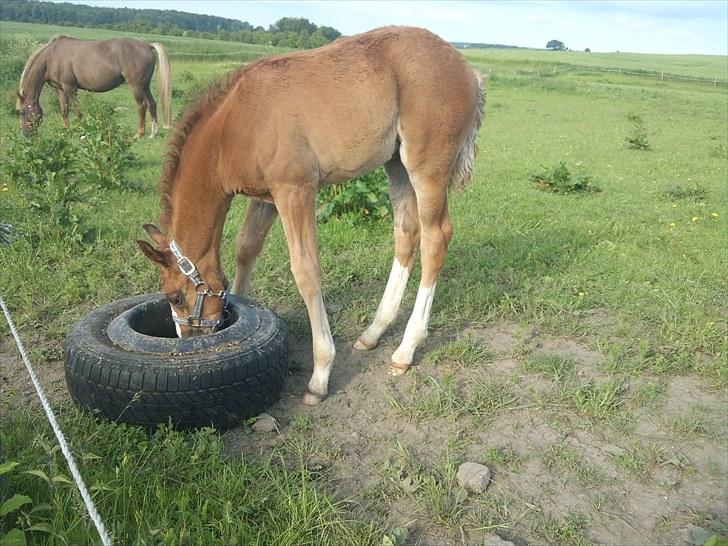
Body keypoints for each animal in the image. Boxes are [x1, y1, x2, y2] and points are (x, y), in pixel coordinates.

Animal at [17, 35, 172, 138]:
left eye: (22, 112)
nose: (25, 133)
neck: (52, 56)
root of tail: (147, 46)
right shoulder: (60, 89)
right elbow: (64, 111)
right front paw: (67, 131)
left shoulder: (70, 88)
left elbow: (78, 112)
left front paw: (83, 132)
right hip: (145, 85)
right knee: (152, 104)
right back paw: (153, 133)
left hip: (136, 86)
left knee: (142, 106)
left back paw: (139, 134)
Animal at [139, 26, 486, 404]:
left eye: (174, 297)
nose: (191, 340)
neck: (235, 123)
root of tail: (469, 70)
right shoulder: (267, 196)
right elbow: (246, 247)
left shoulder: (295, 190)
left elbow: (305, 271)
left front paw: (320, 373)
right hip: (396, 164)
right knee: (407, 232)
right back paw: (374, 332)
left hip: (427, 165)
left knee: (436, 237)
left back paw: (405, 351)